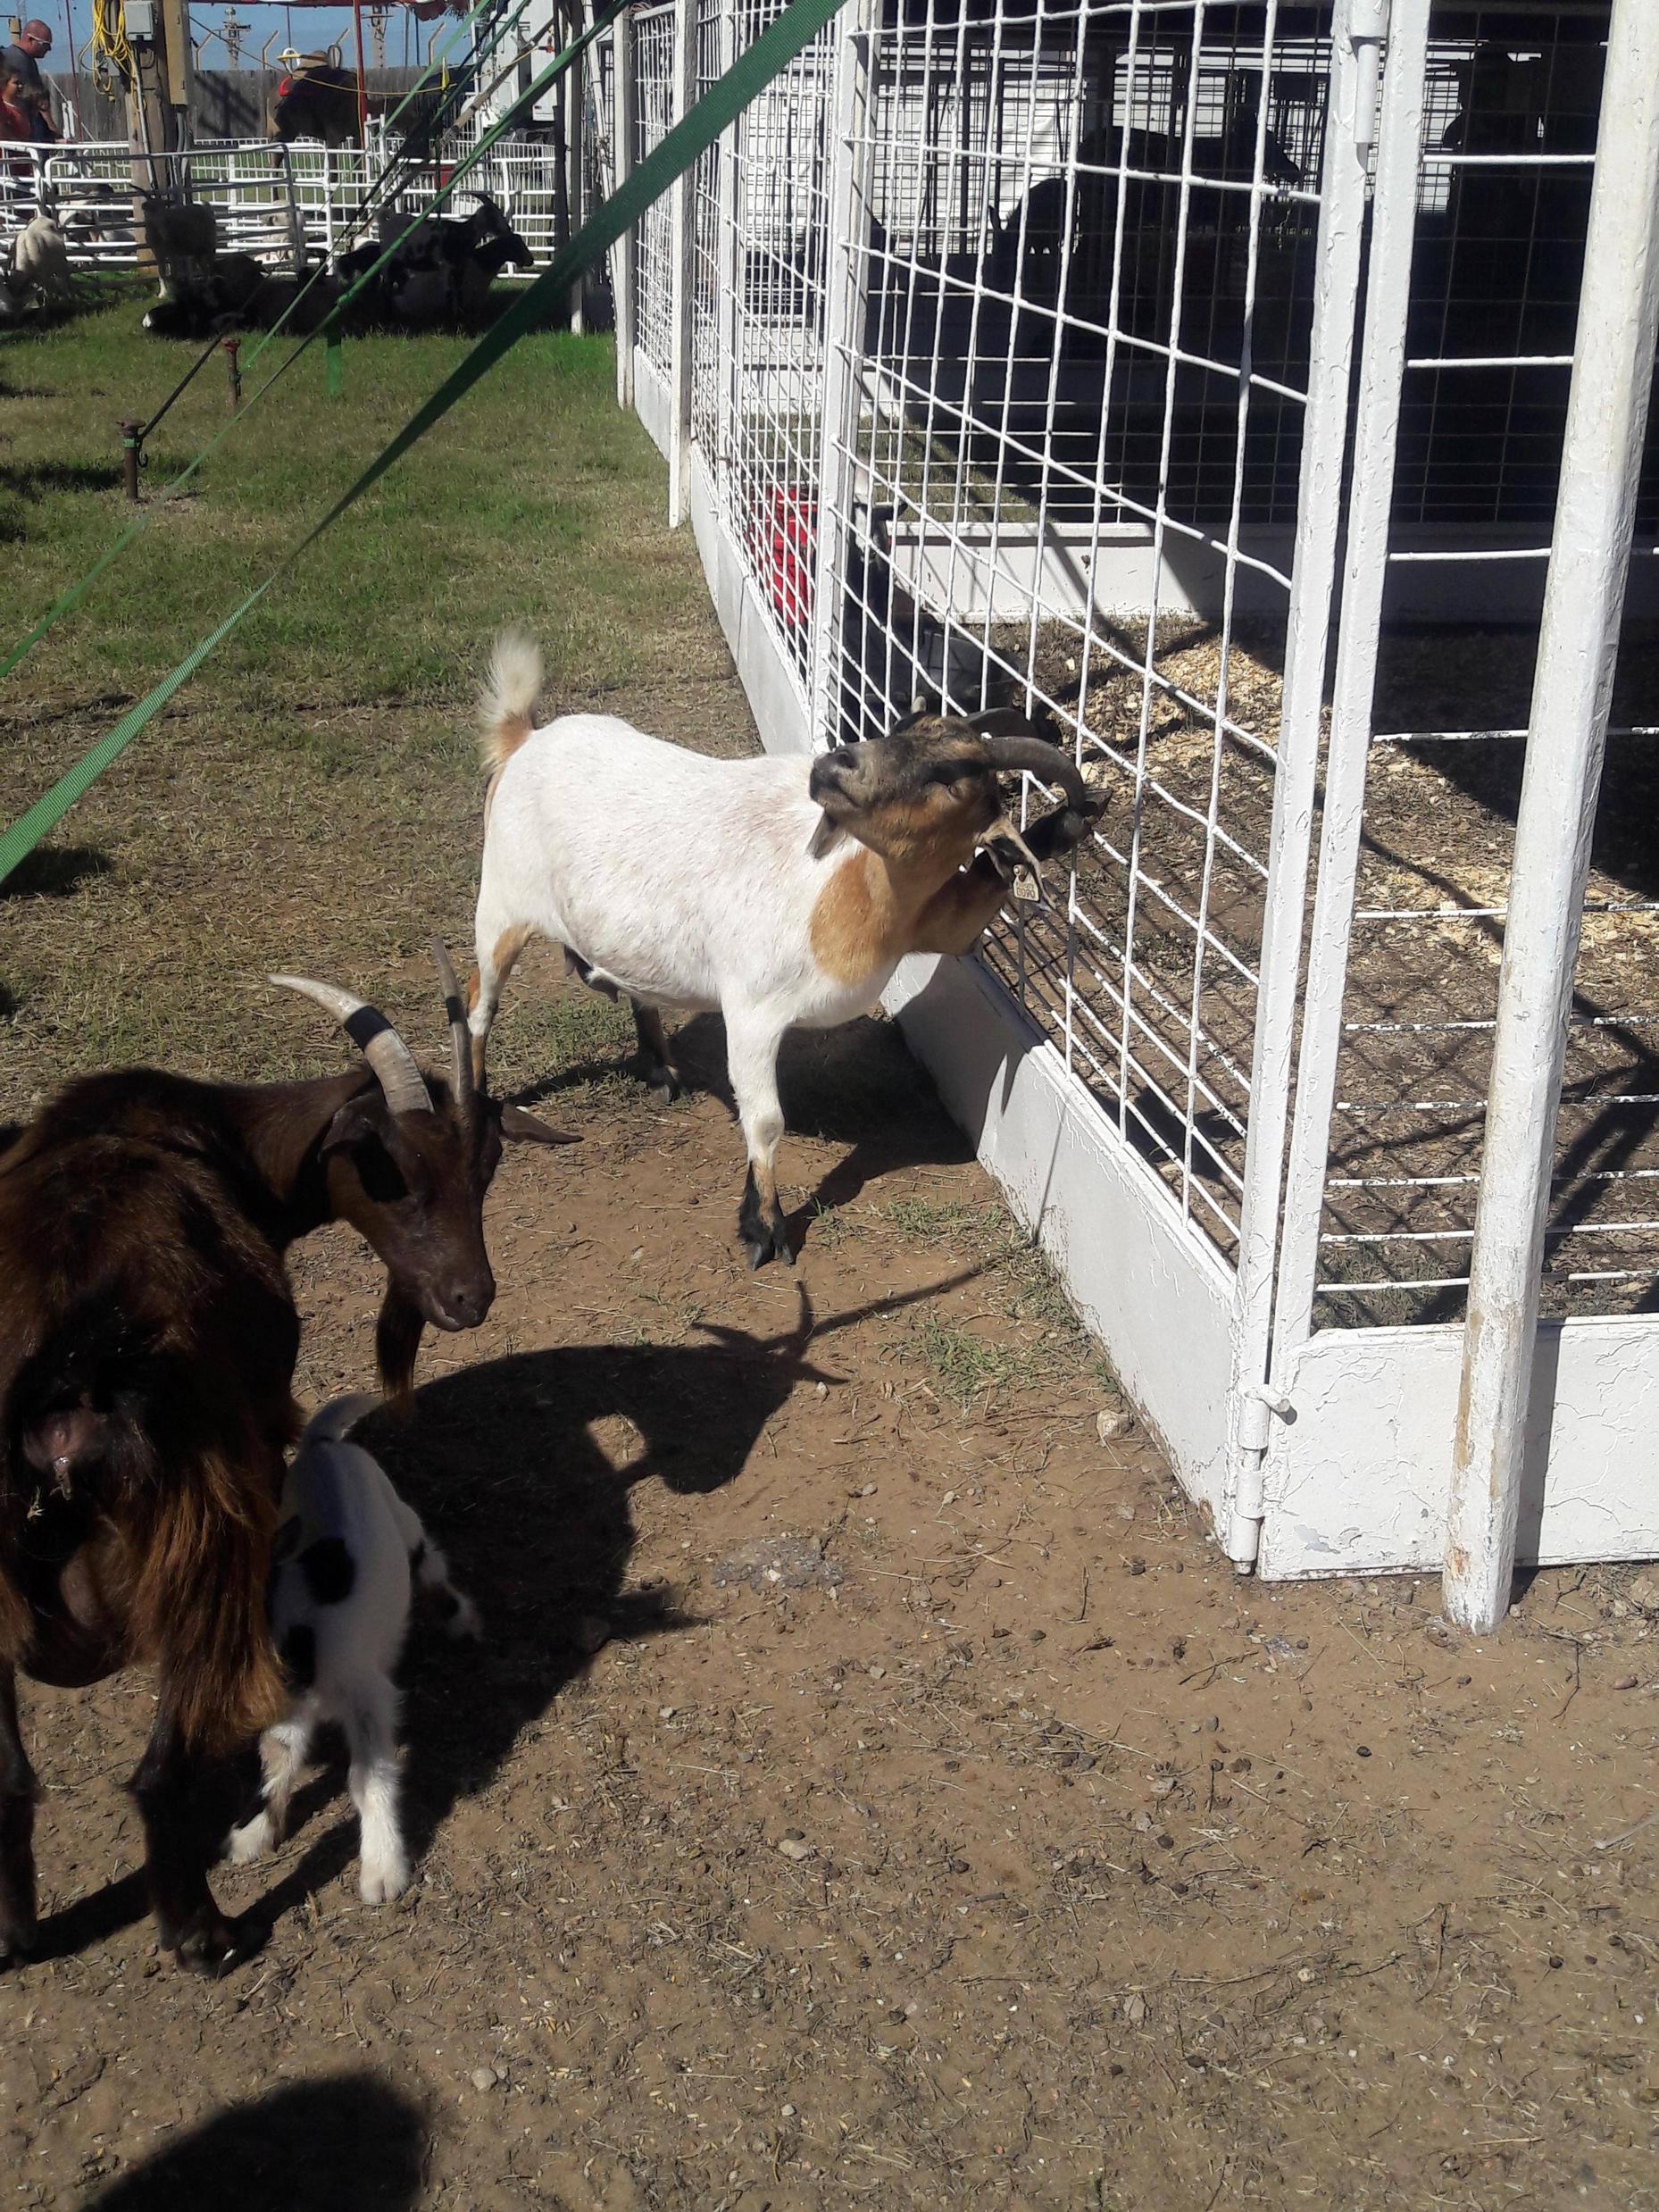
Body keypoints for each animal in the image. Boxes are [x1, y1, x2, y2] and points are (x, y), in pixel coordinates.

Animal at [225, 1394, 478, 1904]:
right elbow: (278, 1754)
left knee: (429, 1563)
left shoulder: (364, 1696)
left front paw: (382, 1869)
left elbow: (366, 1777)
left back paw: (461, 1620)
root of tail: (322, 1445)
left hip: (400, 1514)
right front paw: (256, 1831)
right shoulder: (287, 1709)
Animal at [467, 631, 1101, 1268]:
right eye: (900, 728)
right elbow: (766, 1120)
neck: (847, 892)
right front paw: (765, 1227)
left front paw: (1071, 824)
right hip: (501, 902)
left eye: (952, 779)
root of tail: (525, 738)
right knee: (479, 1000)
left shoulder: (933, 924)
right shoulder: (752, 1009)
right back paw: (477, 1107)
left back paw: (658, 1067)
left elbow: (982, 895)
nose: (834, 765)